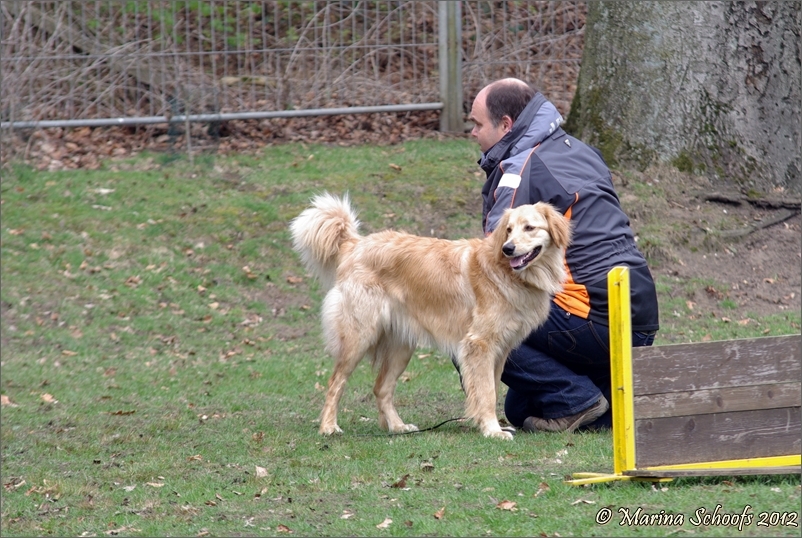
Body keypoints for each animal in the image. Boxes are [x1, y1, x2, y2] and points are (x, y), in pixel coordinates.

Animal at [290, 195, 568, 438]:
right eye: (508, 230)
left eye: (529, 228)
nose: (508, 248)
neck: (508, 274)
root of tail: (355, 243)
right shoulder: (479, 344)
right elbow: (487, 392)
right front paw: (492, 430)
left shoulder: (500, 350)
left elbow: (492, 389)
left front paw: (489, 425)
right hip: (359, 337)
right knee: (336, 382)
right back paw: (328, 427)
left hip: (401, 348)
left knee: (381, 388)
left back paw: (397, 427)